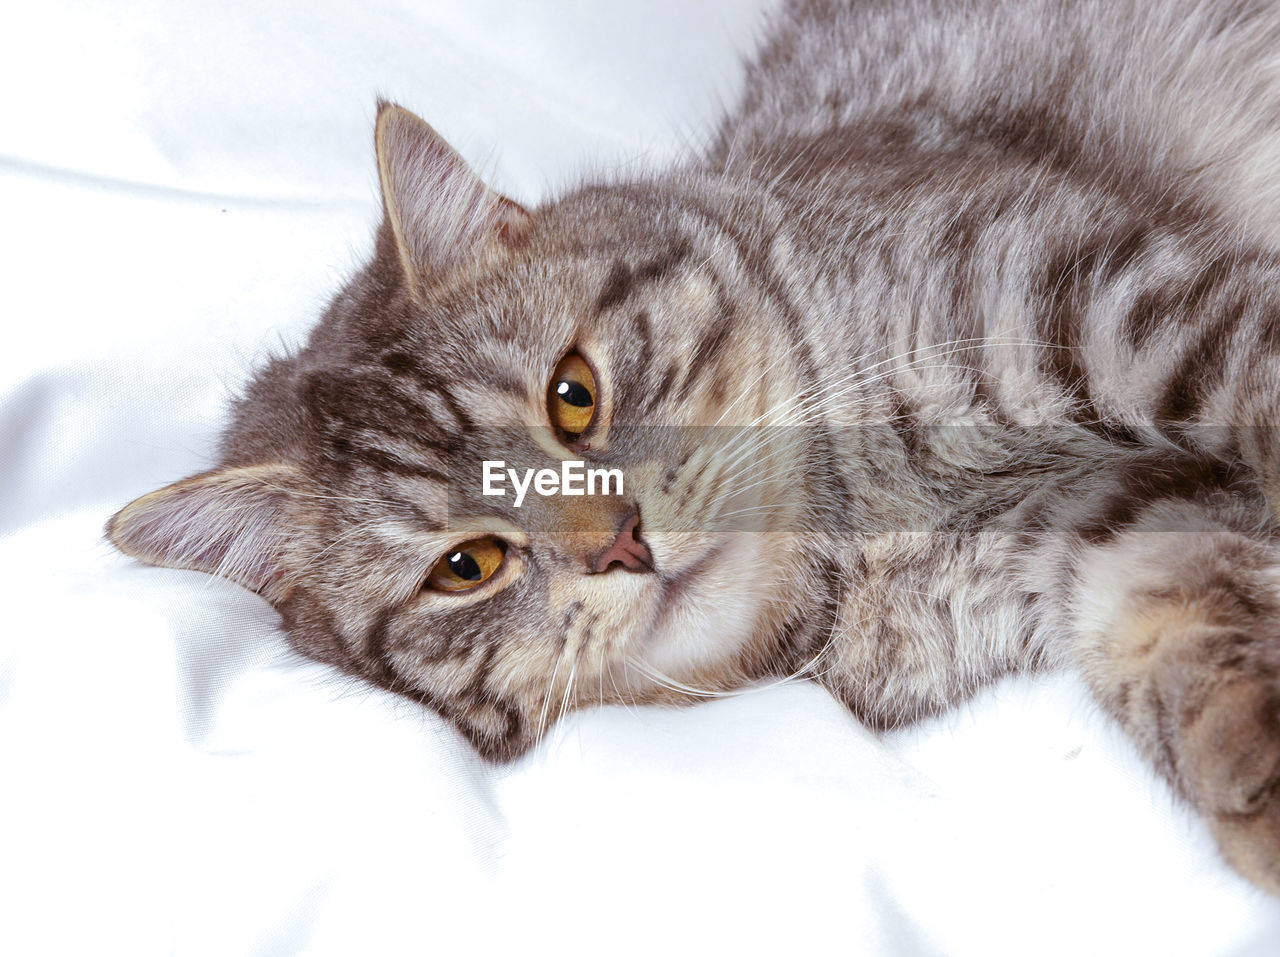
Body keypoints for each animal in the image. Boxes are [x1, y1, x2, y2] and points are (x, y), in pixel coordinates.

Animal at [104, 0, 1280, 895]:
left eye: (573, 397)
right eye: (466, 566)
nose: (621, 540)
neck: (874, 533)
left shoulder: (1115, 301)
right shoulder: (1099, 517)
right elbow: (1180, 624)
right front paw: (1257, 773)